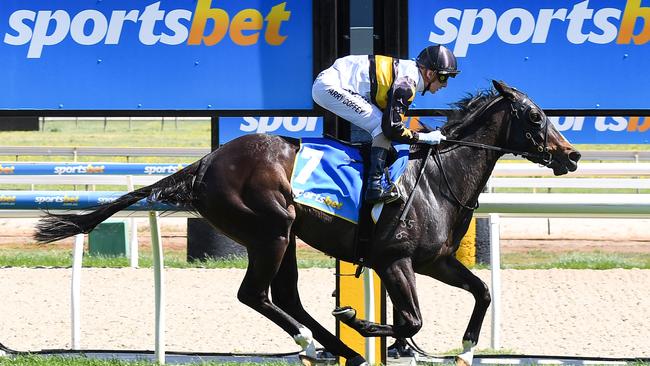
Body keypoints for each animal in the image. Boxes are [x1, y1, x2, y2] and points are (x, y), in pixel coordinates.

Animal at [34, 81, 576, 366]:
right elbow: (410, 318)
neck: (438, 177)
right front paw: (368, 325)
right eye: (533, 115)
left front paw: (463, 348)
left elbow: (481, 291)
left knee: (285, 295)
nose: (571, 155)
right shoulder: (393, 258)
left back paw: (332, 346)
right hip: (269, 229)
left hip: (286, 234)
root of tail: (206, 163)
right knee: (255, 294)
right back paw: (313, 342)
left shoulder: (434, 261)